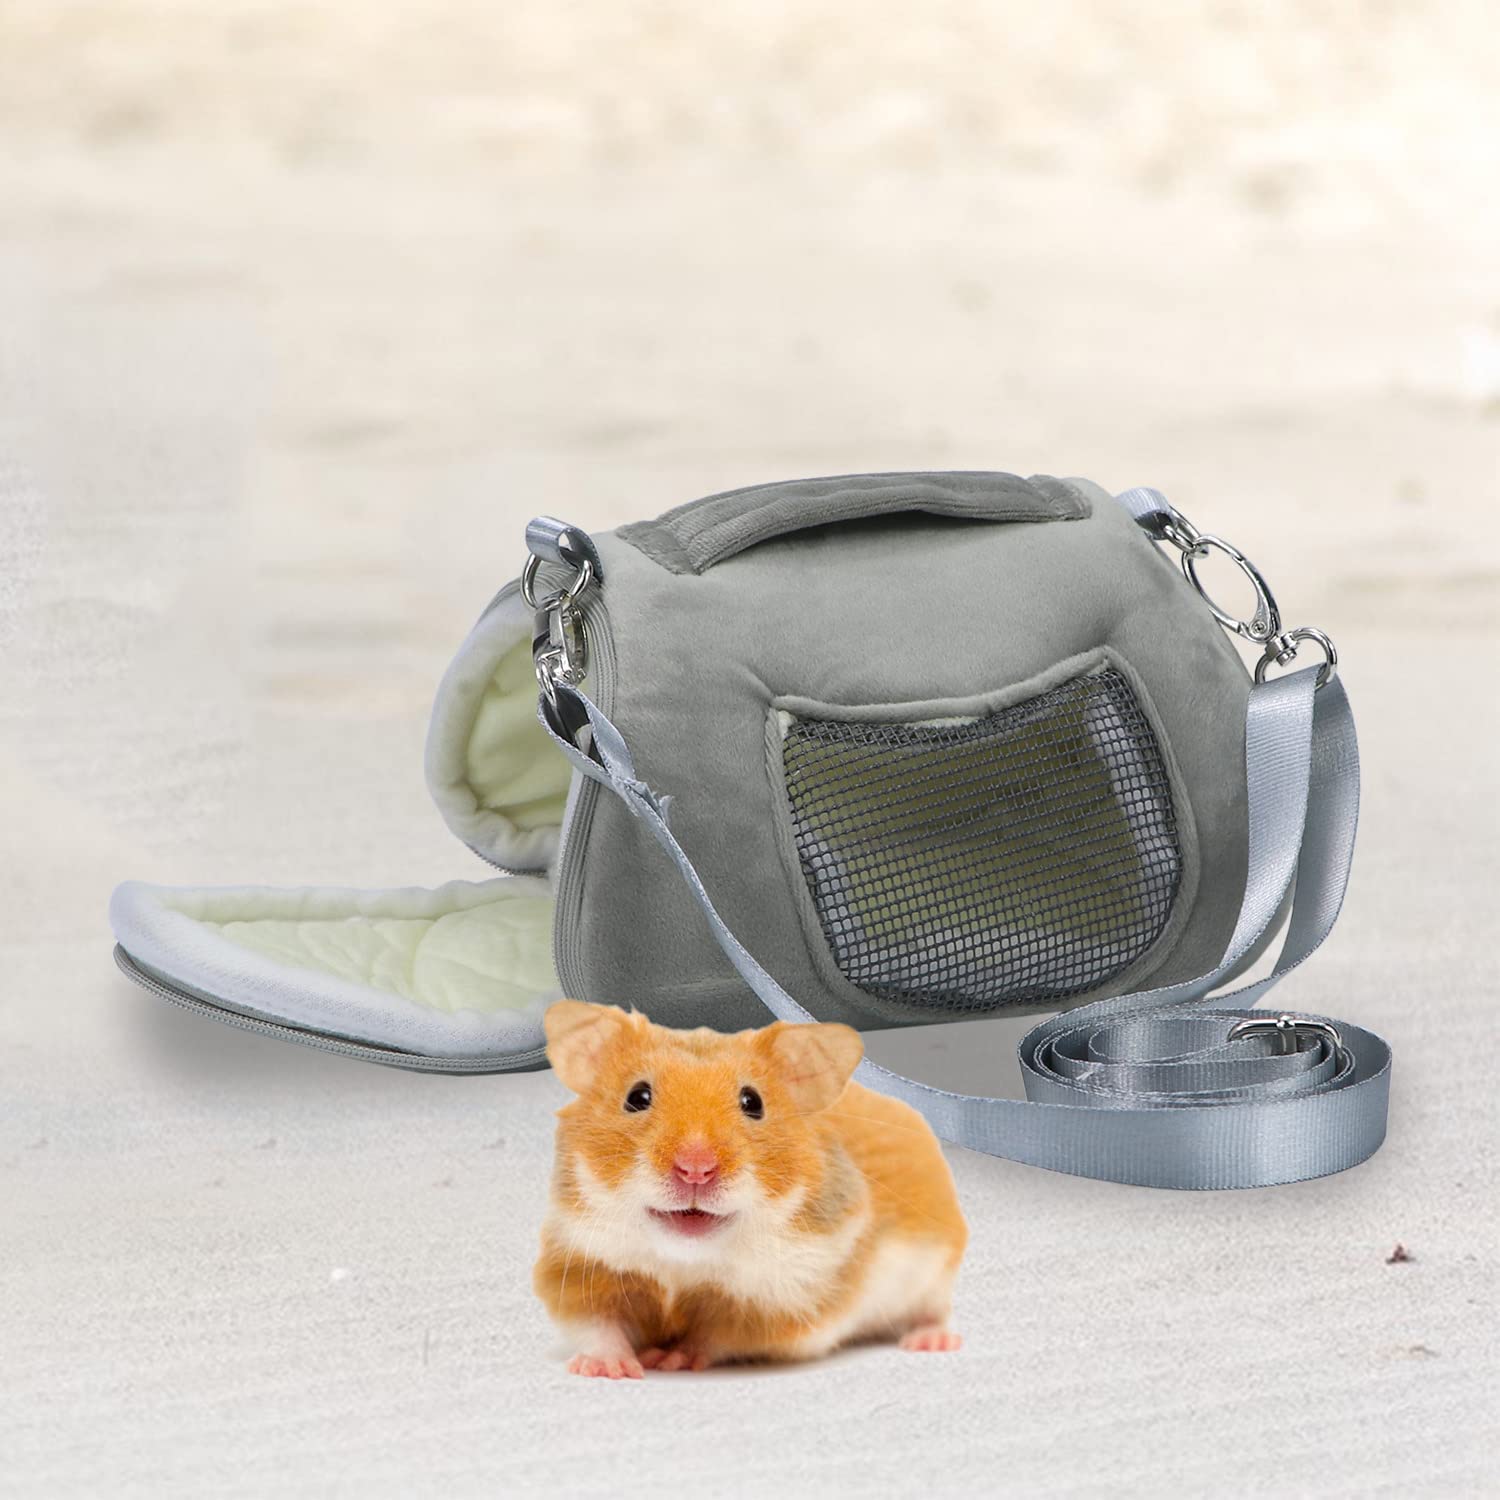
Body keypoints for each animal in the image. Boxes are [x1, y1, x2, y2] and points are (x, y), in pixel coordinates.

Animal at [534, 1000, 967, 1378]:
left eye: (752, 1102)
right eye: (637, 1097)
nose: (695, 1169)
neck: (685, 1261)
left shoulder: (782, 1307)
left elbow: (717, 1337)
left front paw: (669, 1358)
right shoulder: (582, 1269)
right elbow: (598, 1325)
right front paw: (608, 1369)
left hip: (936, 1270)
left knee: (935, 1311)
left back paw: (932, 1341)